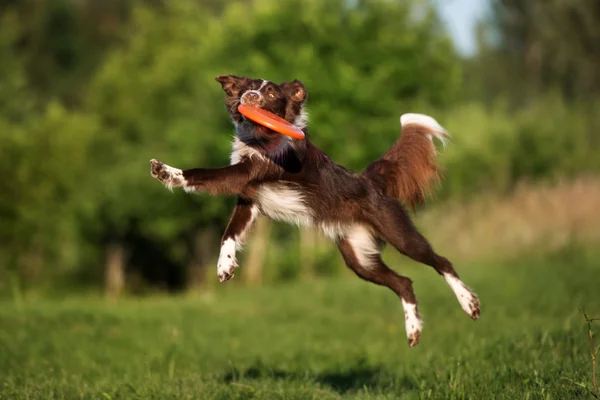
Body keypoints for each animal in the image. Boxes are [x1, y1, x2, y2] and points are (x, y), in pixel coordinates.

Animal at [151, 75, 482, 346]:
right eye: (246, 88)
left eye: (271, 93)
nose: (250, 98)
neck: (260, 138)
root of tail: (371, 182)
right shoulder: (250, 201)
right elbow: (229, 234)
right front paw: (225, 266)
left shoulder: (246, 174)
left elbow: (201, 174)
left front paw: (167, 172)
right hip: (357, 257)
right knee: (404, 282)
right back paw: (413, 330)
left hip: (399, 233)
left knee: (442, 261)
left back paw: (469, 303)